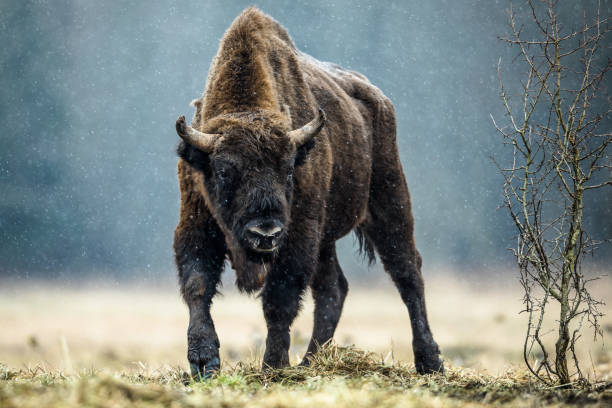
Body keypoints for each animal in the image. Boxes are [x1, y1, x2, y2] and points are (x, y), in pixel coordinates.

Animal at [175, 7, 442, 376]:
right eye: (224, 171)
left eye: (289, 169)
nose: (265, 233)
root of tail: (379, 100)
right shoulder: (197, 222)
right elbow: (197, 285)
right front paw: (203, 362)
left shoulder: (298, 234)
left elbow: (280, 299)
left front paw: (273, 365)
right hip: (327, 239)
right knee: (334, 289)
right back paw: (311, 361)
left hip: (389, 202)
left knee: (408, 273)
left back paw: (430, 361)